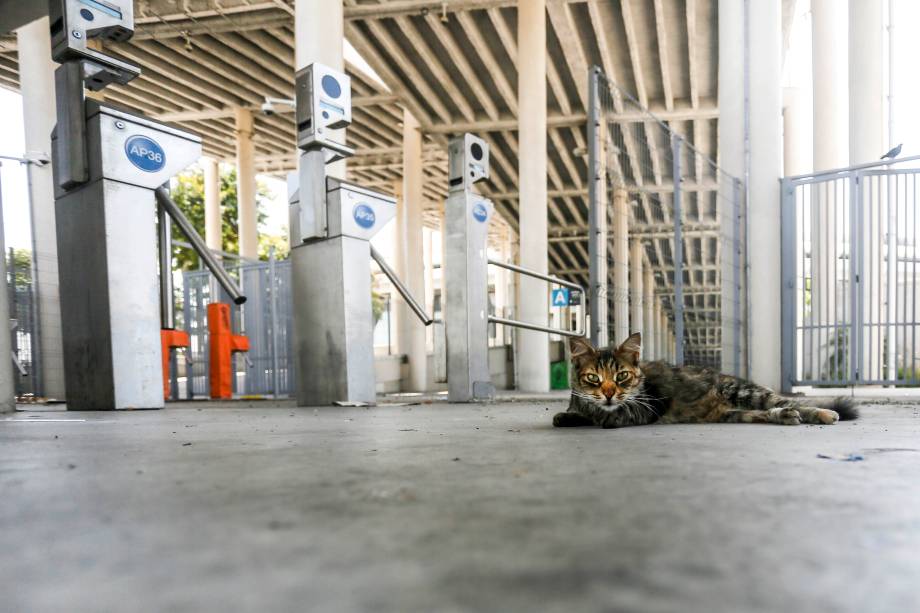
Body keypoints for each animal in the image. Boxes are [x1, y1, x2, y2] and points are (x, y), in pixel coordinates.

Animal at [548, 332, 860, 428]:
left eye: (622, 376)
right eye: (593, 378)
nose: (609, 393)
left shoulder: (646, 406)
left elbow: (611, 415)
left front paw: (598, 414)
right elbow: (568, 413)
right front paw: (569, 415)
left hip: (745, 392)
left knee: (786, 401)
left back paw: (824, 413)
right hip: (735, 413)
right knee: (769, 412)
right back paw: (785, 416)